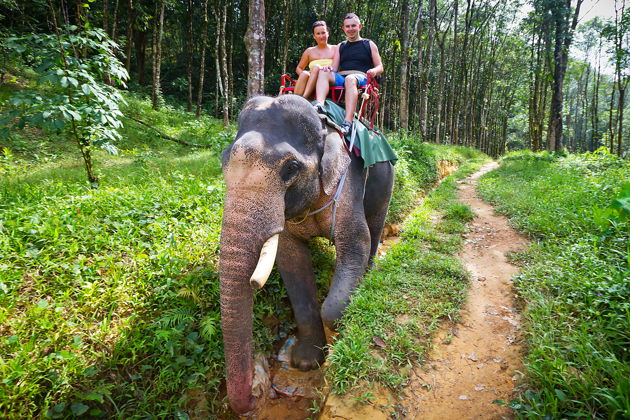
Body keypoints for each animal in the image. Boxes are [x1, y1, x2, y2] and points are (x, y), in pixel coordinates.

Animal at [220, 94, 392, 414]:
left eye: (290, 168)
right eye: (223, 162)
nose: (254, 398)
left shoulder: (348, 182)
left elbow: (357, 242)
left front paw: (345, 318)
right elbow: (291, 261)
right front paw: (304, 362)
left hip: (386, 180)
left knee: (374, 230)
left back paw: (369, 278)